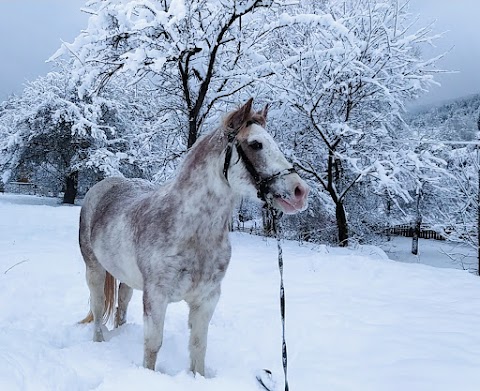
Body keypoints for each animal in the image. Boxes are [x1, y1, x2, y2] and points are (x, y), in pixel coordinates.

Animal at [77, 98, 310, 376]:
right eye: (256, 144)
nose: (300, 192)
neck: (190, 231)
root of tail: (104, 186)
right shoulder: (156, 297)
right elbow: (153, 345)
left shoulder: (206, 300)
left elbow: (199, 346)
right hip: (94, 269)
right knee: (98, 306)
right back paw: (99, 342)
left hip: (126, 277)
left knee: (121, 304)